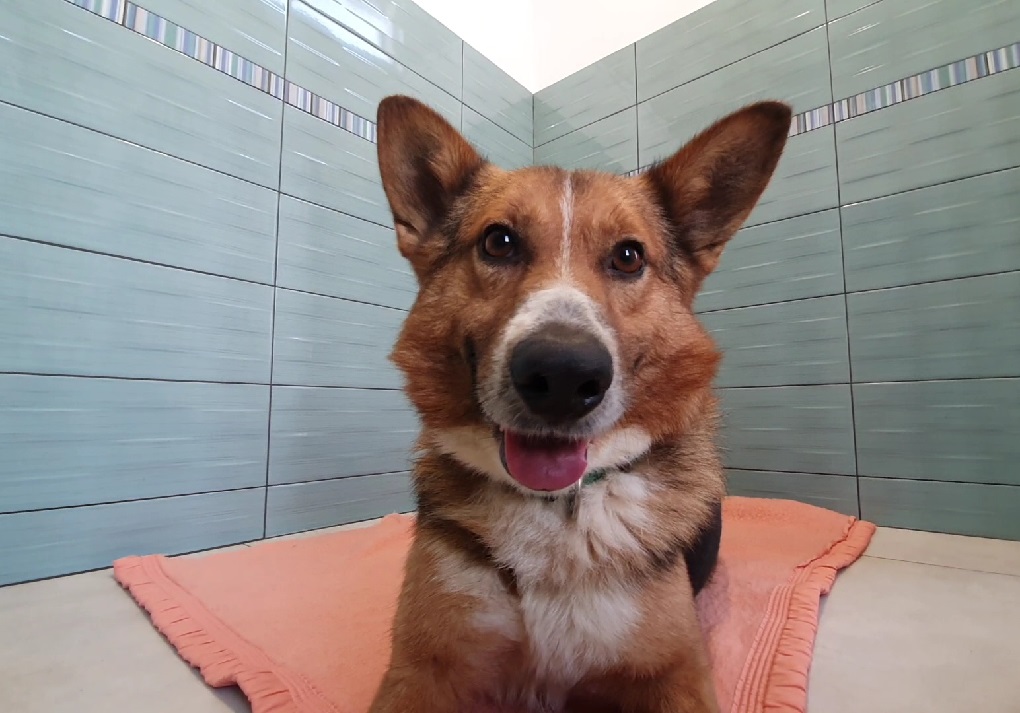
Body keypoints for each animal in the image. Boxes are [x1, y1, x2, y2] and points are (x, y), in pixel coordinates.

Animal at [367, 96, 787, 713]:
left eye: (629, 256)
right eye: (498, 242)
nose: (563, 375)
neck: (558, 508)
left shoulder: (677, 674)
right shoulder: (422, 669)